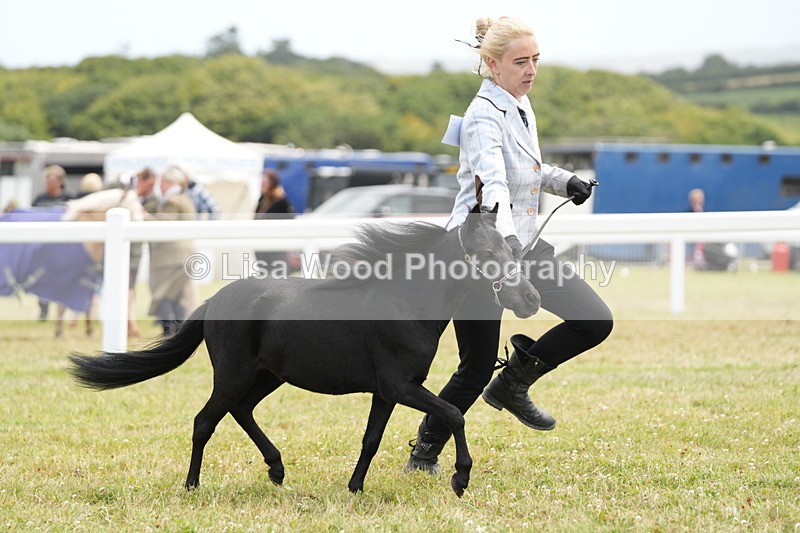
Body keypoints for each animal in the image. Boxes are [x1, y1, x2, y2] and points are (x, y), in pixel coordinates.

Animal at [0, 188, 146, 337]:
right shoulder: (67, 275)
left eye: (138, 201)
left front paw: (87, 331)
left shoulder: (84, 275)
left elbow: (86, 304)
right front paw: (61, 332)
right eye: (130, 203)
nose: (141, 218)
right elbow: (63, 305)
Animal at [68, 208, 540, 497]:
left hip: (267, 375)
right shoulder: (400, 386)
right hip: (234, 374)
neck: (406, 303)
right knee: (205, 421)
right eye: (487, 253)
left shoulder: (387, 391)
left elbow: (371, 439)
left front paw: (355, 488)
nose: (530, 299)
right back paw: (192, 485)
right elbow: (454, 413)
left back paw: (276, 470)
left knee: (241, 410)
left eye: (512, 249)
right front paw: (461, 478)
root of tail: (213, 302)